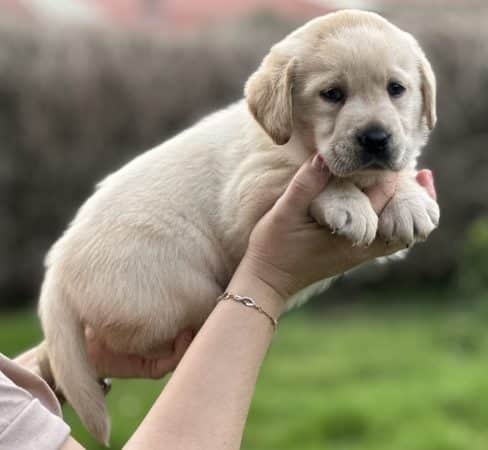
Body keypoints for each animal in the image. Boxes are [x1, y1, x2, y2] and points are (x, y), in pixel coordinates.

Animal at [38, 9, 438, 442]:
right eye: (332, 94)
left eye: (396, 89)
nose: (376, 137)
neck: (294, 140)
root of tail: (56, 269)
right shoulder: (251, 190)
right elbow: (315, 175)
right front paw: (348, 202)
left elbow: (394, 174)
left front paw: (411, 200)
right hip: (178, 287)